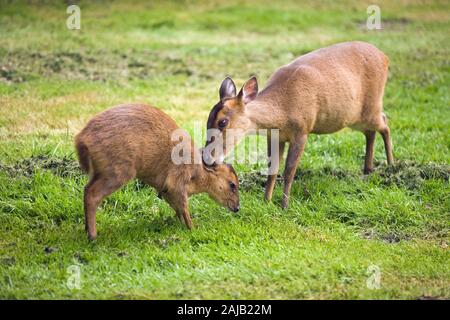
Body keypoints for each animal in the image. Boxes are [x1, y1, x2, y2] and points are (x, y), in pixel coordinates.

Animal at [75, 104, 241, 240]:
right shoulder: (177, 182)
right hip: (119, 171)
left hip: (99, 172)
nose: (237, 208)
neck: (197, 174)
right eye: (232, 184)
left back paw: (86, 229)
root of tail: (81, 140)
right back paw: (92, 236)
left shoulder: (165, 190)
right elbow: (184, 208)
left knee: (86, 189)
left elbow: (178, 210)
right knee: (92, 194)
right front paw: (194, 229)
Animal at [206, 40, 392, 209]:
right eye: (208, 120)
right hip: (356, 118)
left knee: (385, 123)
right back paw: (368, 170)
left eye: (223, 121)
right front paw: (266, 201)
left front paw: (284, 206)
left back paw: (391, 166)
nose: (207, 159)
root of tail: (385, 57)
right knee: (371, 132)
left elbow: (289, 171)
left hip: (371, 106)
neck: (283, 111)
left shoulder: (302, 130)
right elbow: (272, 169)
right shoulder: (274, 136)